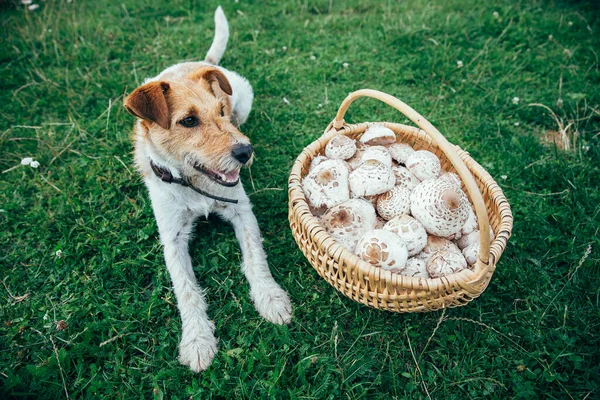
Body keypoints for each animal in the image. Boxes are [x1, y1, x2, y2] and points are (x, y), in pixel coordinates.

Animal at [123, 6, 292, 372]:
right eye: (188, 121)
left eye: (220, 111)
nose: (245, 152)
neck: (195, 186)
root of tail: (200, 60)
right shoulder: (171, 238)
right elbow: (186, 288)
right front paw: (197, 340)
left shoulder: (242, 211)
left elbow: (255, 258)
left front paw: (270, 298)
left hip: (244, 96)